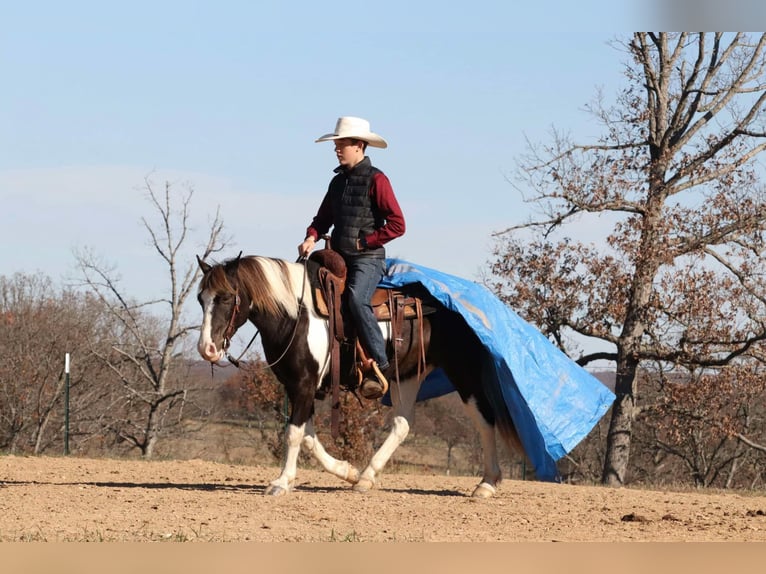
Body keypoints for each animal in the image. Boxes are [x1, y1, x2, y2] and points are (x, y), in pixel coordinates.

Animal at [195, 254, 524, 498]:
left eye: (226, 298)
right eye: (201, 299)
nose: (206, 349)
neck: (296, 315)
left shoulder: (304, 385)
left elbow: (294, 434)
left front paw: (281, 482)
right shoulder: (297, 386)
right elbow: (308, 436)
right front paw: (348, 472)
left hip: (462, 371)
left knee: (484, 418)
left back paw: (487, 483)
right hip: (407, 375)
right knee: (403, 424)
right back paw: (366, 477)